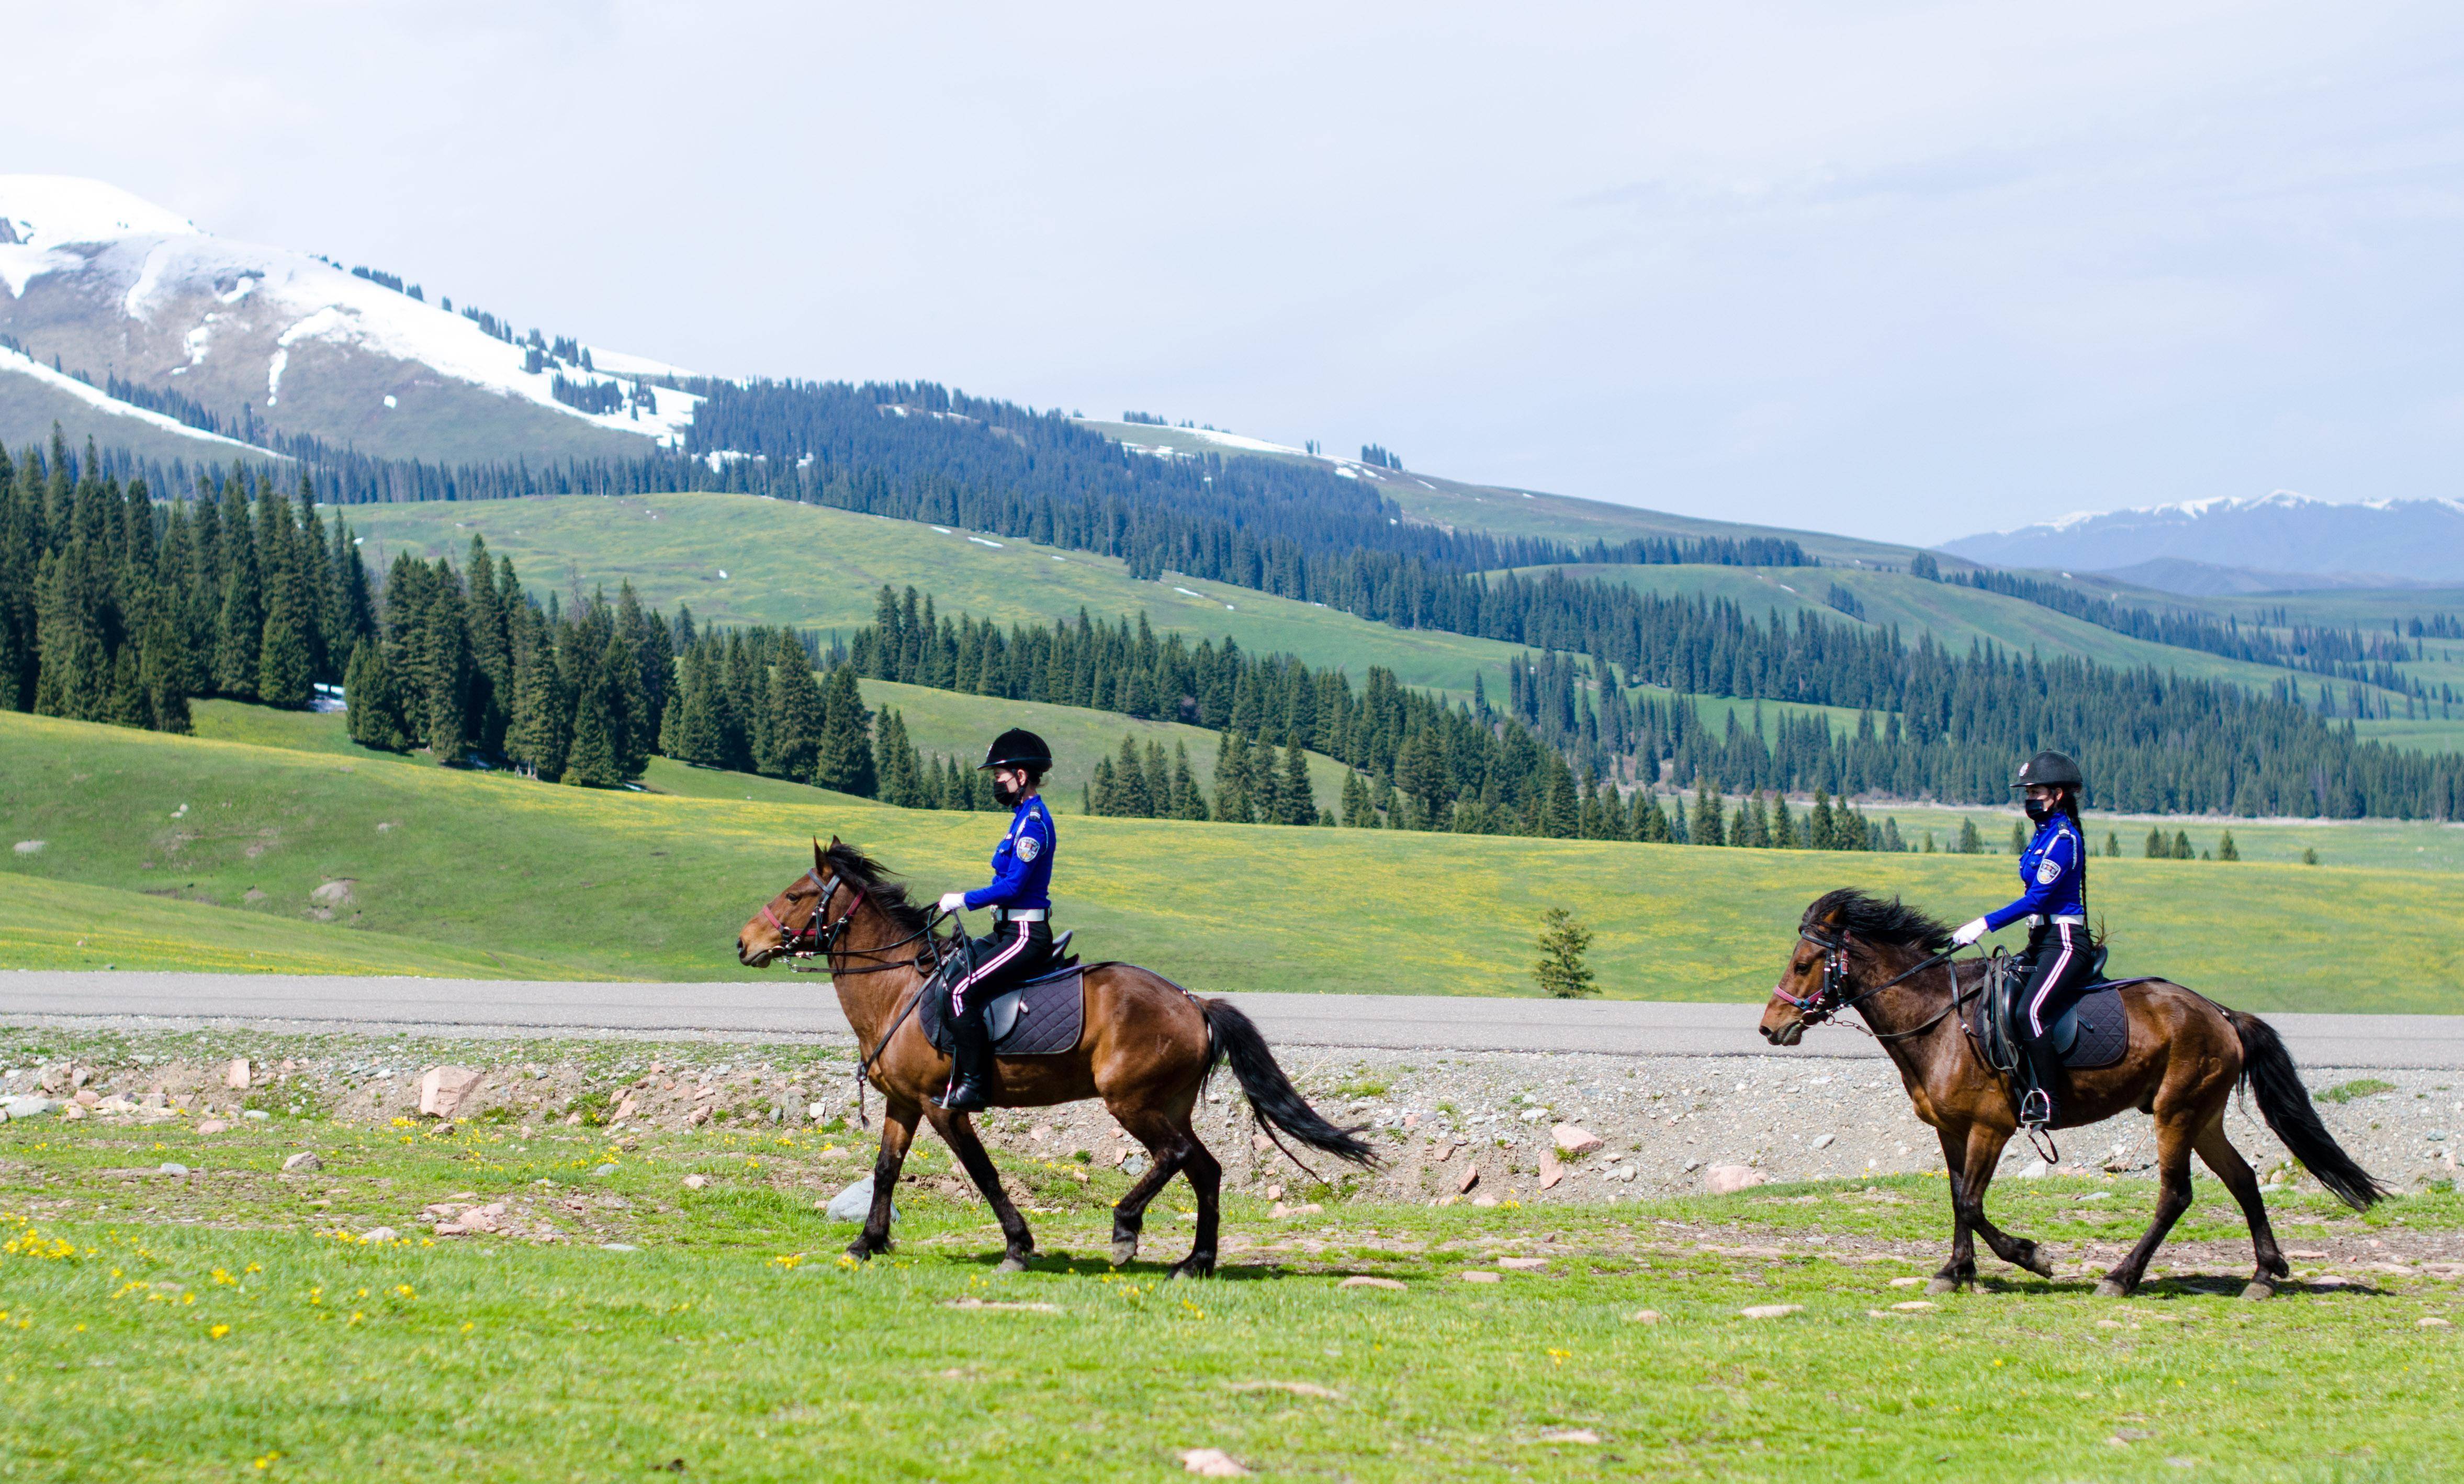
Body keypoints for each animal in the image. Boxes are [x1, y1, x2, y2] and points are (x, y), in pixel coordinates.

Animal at [729, 838, 1389, 1272]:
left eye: (794, 895)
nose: (742, 943)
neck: (897, 988)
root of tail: (1192, 1002)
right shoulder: (904, 1104)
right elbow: (886, 1169)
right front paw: (866, 1243)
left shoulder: (945, 1107)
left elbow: (983, 1171)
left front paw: (1018, 1246)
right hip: (1168, 1104)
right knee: (1204, 1168)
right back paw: (1196, 1261)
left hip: (1131, 1101)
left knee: (1175, 1157)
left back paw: (1126, 1230)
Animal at [1764, 887, 2375, 1291]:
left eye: (1804, 963)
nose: (1770, 1027)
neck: (1938, 1021)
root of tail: (2220, 1013)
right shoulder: (1951, 1130)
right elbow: (1958, 1200)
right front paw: (1955, 1272)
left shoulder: (1992, 1127)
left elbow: (1972, 1203)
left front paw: (2030, 1256)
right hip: (2201, 1116)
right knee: (2243, 1180)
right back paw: (2264, 1274)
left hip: (2176, 1113)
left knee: (2175, 1194)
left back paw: (2121, 1277)